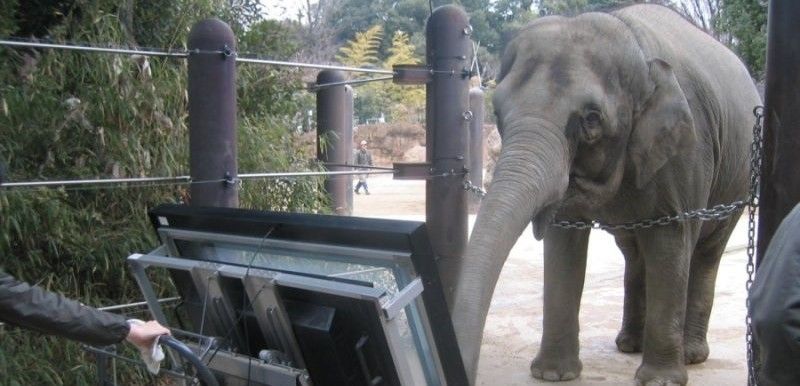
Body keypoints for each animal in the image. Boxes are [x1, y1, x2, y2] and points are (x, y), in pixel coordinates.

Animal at [454, 3, 760, 386]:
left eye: (592, 119)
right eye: (498, 111)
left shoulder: (688, 149)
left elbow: (670, 238)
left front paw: (660, 380)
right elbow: (564, 241)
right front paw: (552, 374)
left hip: (738, 177)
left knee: (706, 252)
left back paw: (690, 355)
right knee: (635, 252)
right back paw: (629, 344)